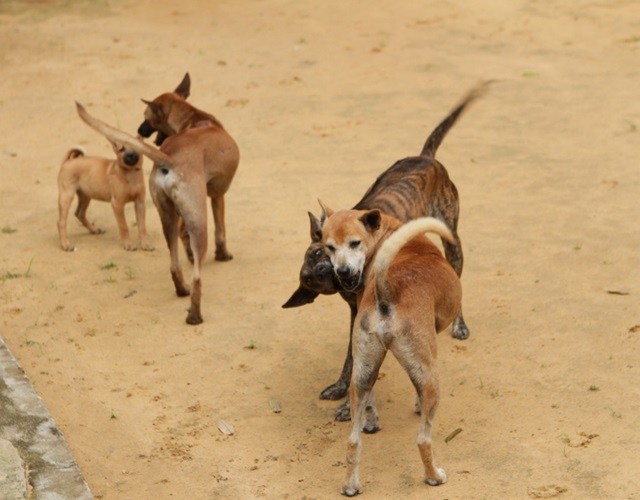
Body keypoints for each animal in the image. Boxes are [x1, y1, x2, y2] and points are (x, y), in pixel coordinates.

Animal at [75, 74, 240, 324]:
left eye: (146, 118)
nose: (139, 129)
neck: (195, 118)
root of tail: (169, 159)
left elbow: (183, 238)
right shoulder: (217, 196)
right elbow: (221, 232)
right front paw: (223, 256)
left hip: (168, 218)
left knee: (174, 264)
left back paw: (182, 289)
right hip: (199, 221)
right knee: (197, 276)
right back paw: (195, 315)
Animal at [282, 84, 488, 420]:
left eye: (318, 255)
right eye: (312, 279)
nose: (336, 271)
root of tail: (425, 156)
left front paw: (348, 406)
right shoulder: (356, 315)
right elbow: (351, 359)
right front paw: (341, 389)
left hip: (452, 240)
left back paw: (459, 324)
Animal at [320, 207, 460, 496]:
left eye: (354, 243)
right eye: (330, 247)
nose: (343, 272)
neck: (387, 233)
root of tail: (389, 290)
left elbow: (372, 402)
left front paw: (372, 422)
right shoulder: (425, 364)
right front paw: (417, 406)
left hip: (361, 375)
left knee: (353, 440)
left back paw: (351, 486)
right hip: (431, 380)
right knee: (423, 440)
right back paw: (434, 477)